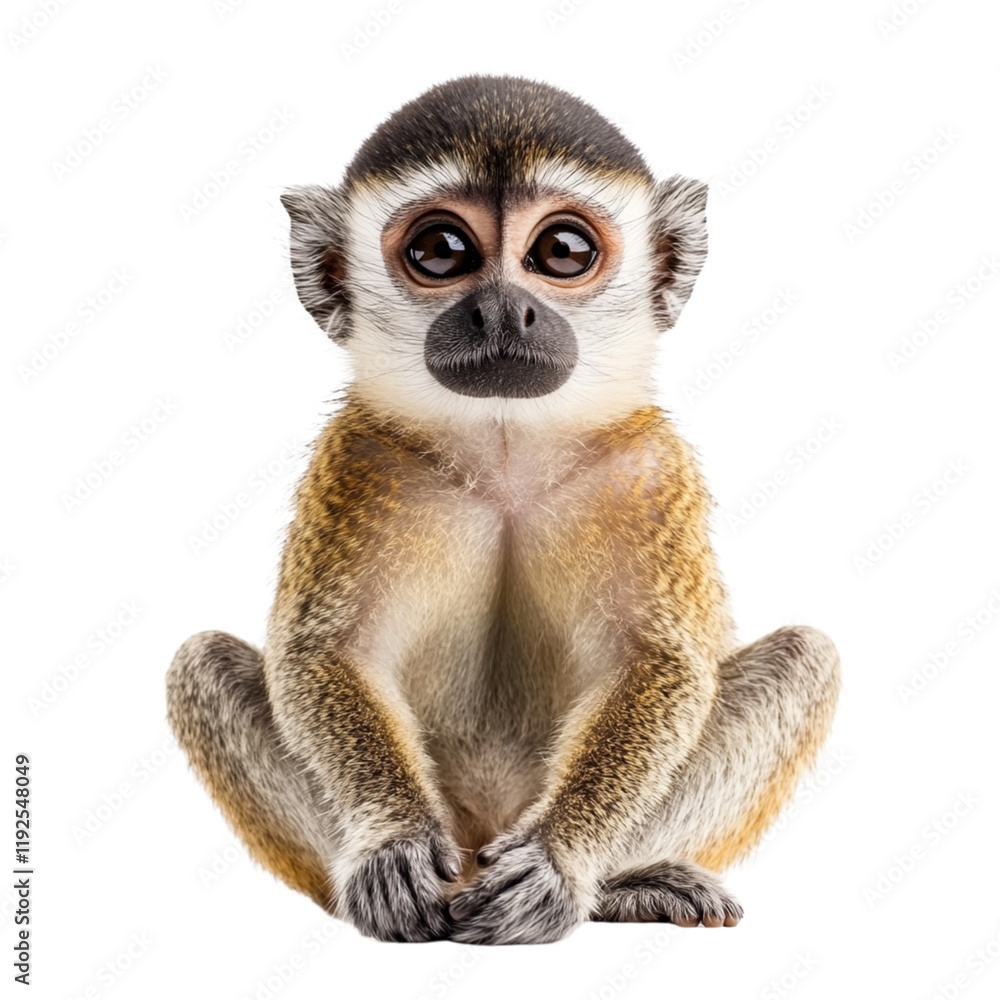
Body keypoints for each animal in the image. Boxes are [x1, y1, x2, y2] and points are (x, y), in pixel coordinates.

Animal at [166, 74, 840, 946]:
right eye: (442, 251)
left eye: (563, 252)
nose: (500, 311)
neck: (506, 448)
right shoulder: (358, 458)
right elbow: (324, 653)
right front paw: (392, 842)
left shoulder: (649, 469)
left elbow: (661, 665)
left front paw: (559, 858)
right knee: (200, 665)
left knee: (807, 658)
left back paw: (626, 883)